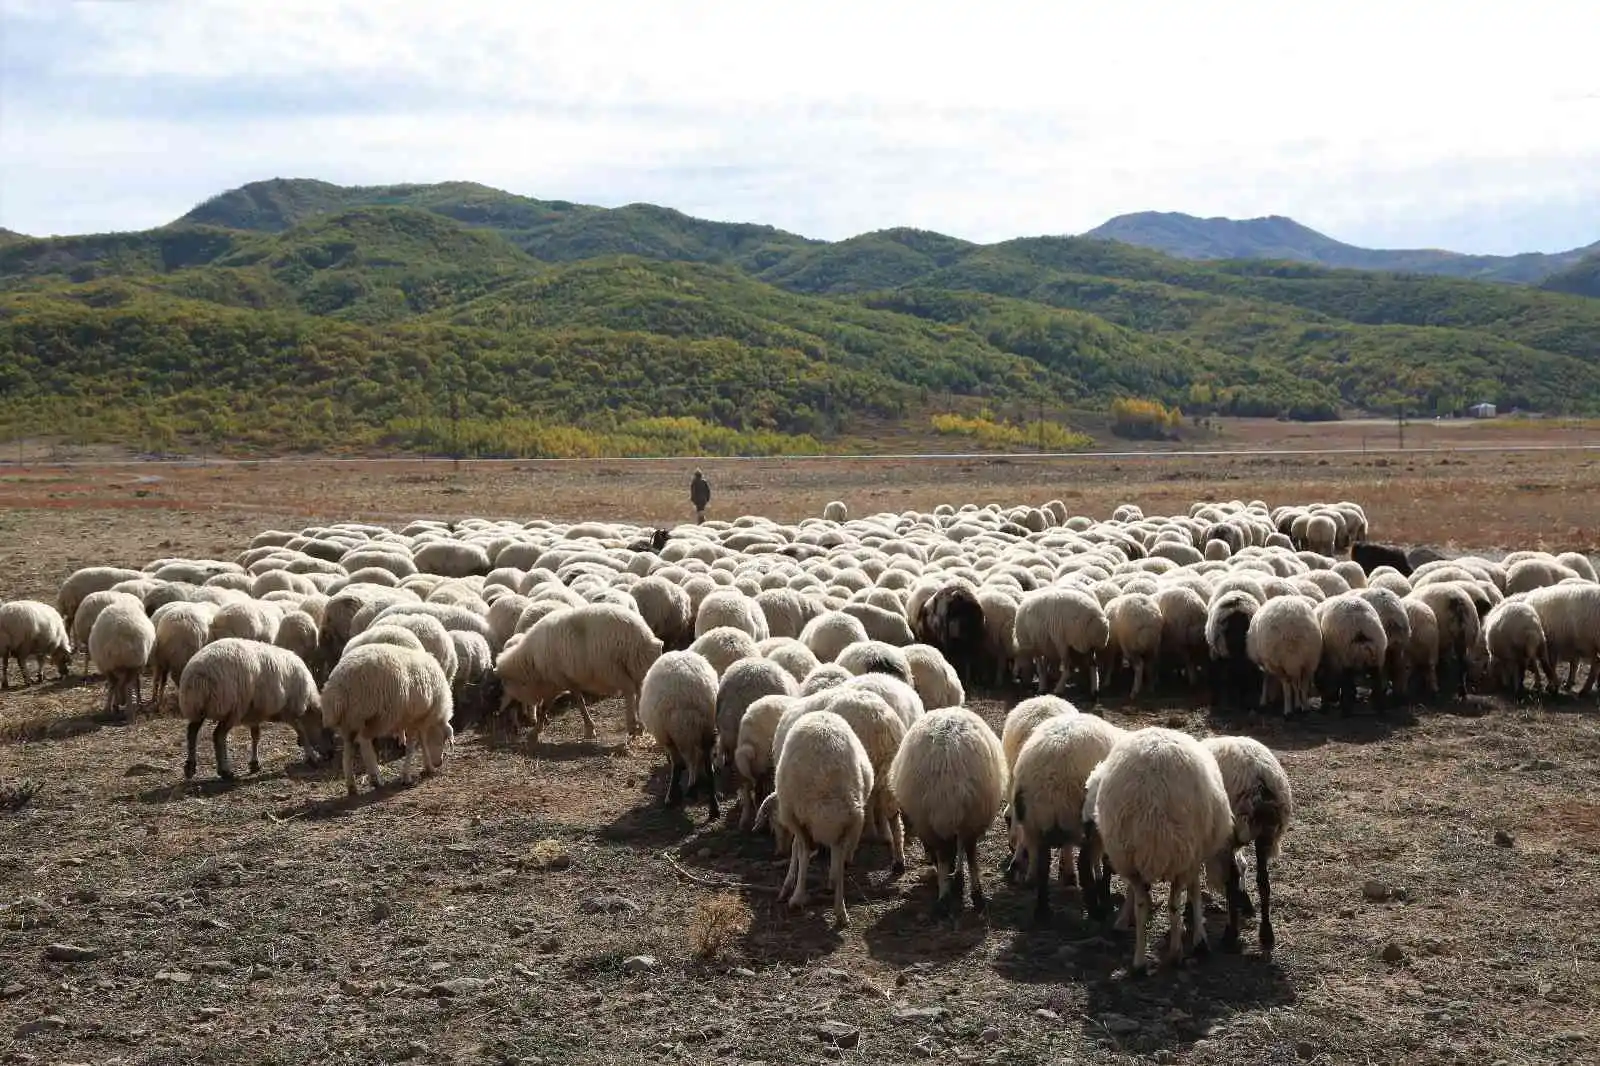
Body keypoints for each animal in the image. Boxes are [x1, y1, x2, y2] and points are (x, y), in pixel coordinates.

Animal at [178, 633, 324, 777]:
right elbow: (302, 732)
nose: (328, 754)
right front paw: (312, 757)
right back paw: (224, 770)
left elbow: (255, 735)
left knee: (192, 732)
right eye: (324, 727)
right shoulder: (289, 710)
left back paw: (190, 766)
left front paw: (254, 763)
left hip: (196, 707)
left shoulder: (255, 712)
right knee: (218, 736)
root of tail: (197, 675)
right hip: (233, 708)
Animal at [321, 633, 454, 793]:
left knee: (348, 749)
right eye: (443, 739)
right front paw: (407, 776)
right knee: (364, 741)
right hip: (378, 716)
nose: (439, 762)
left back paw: (351, 785)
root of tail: (338, 687)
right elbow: (411, 747)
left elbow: (422, 742)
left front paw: (428, 767)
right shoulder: (413, 720)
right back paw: (376, 778)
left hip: (349, 721)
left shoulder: (417, 721)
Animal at [889, 704, 998, 915]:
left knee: (946, 853)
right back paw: (976, 893)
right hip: (974, 813)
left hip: (933, 818)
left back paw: (944, 896)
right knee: (970, 850)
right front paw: (957, 876)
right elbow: (960, 846)